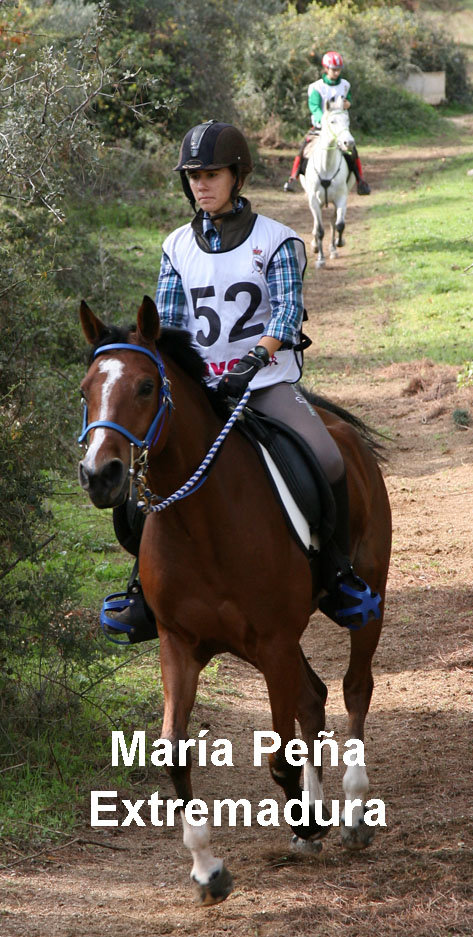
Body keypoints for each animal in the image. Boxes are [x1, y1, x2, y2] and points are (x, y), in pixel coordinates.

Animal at [77, 296, 390, 904]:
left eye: (146, 387)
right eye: (85, 390)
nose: (100, 475)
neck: (201, 524)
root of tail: (341, 433)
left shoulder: (272, 642)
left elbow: (279, 754)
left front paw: (306, 823)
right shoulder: (180, 644)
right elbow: (174, 752)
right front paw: (207, 868)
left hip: (365, 601)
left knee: (353, 688)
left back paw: (352, 813)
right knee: (313, 697)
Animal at [300, 97, 356, 268]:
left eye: (347, 120)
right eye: (332, 121)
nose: (349, 142)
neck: (326, 166)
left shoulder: (341, 198)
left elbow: (339, 224)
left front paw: (338, 243)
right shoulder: (313, 200)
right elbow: (319, 230)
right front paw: (320, 259)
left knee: (332, 221)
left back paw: (333, 248)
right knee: (316, 224)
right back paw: (315, 246)